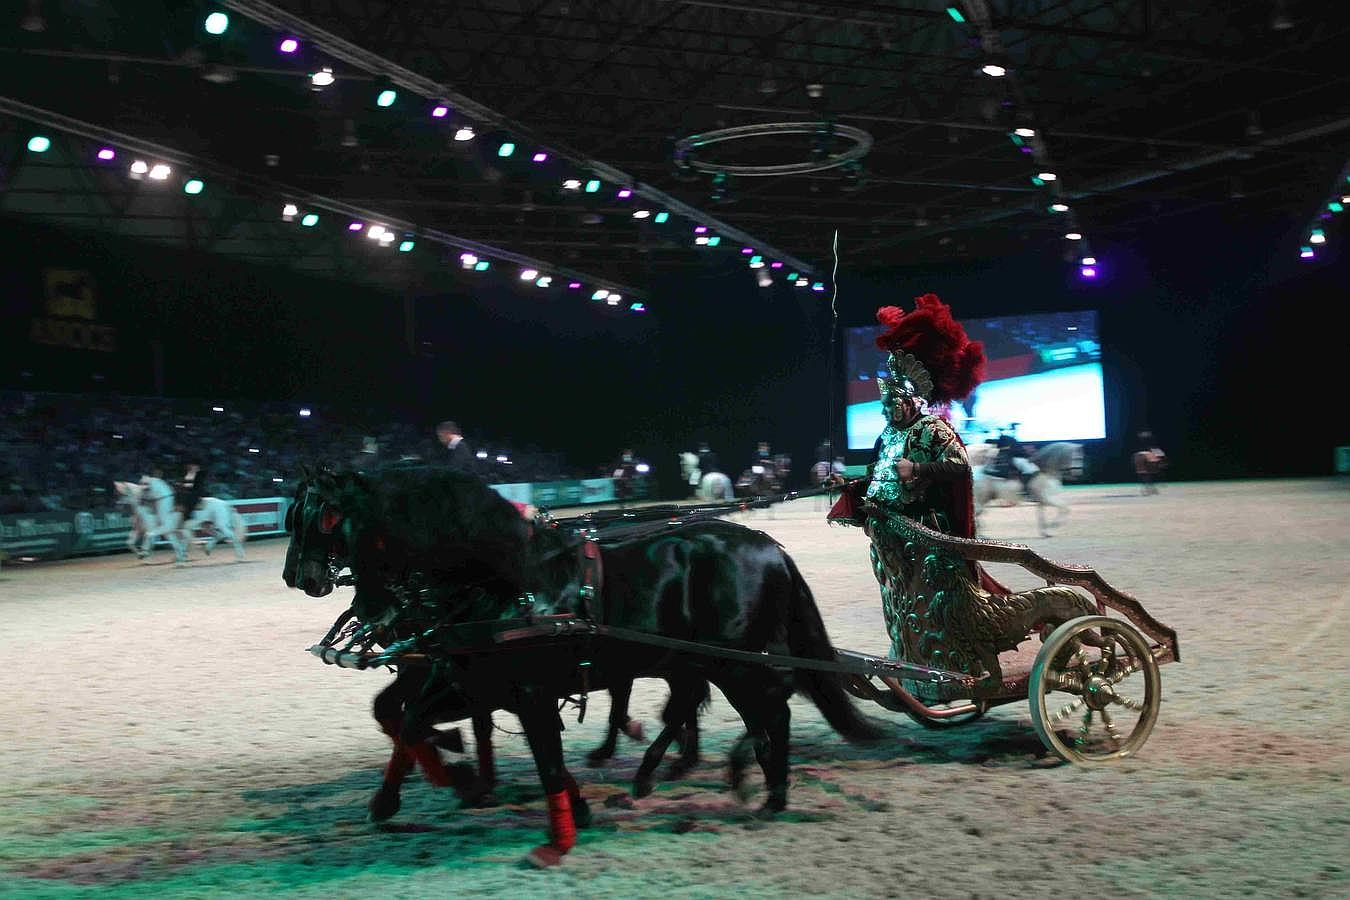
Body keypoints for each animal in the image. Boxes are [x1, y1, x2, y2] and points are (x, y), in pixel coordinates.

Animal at [294, 464, 880, 863]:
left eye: (327, 518)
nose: (300, 578)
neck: (512, 584)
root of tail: (770, 546)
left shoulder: (521, 691)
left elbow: (546, 760)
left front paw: (556, 834)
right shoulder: (470, 681)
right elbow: (410, 722)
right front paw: (423, 787)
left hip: (735, 660)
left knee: (771, 705)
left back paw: (759, 788)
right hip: (710, 659)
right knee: (737, 703)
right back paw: (705, 774)